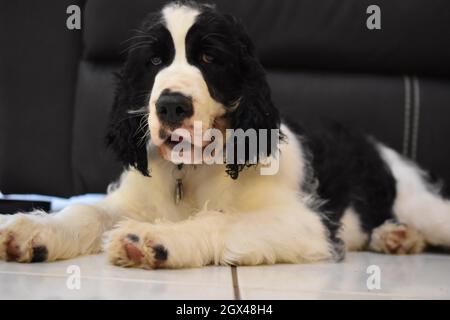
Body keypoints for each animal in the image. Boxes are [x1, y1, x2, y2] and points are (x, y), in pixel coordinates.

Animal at [0, 1, 450, 268]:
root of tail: (376, 147)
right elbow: (89, 211)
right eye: (154, 60)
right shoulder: (132, 198)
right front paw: (32, 232)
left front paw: (153, 239)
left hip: (422, 205)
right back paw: (396, 237)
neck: (192, 172)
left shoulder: (306, 223)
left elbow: (223, 219)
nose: (172, 106)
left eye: (209, 58)